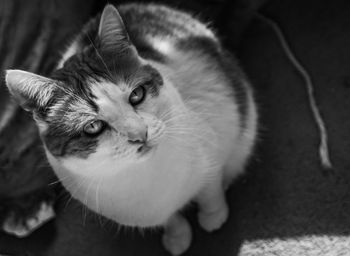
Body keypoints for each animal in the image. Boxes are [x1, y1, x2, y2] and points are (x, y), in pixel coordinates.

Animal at [4, 3, 258, 255]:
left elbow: (210, 188)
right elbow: (170, 219)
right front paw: (177, 237)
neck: (145, 173)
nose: (139, 134)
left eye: (137, 94)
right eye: (93, 126)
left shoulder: (211, 138)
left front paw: (213, 216)